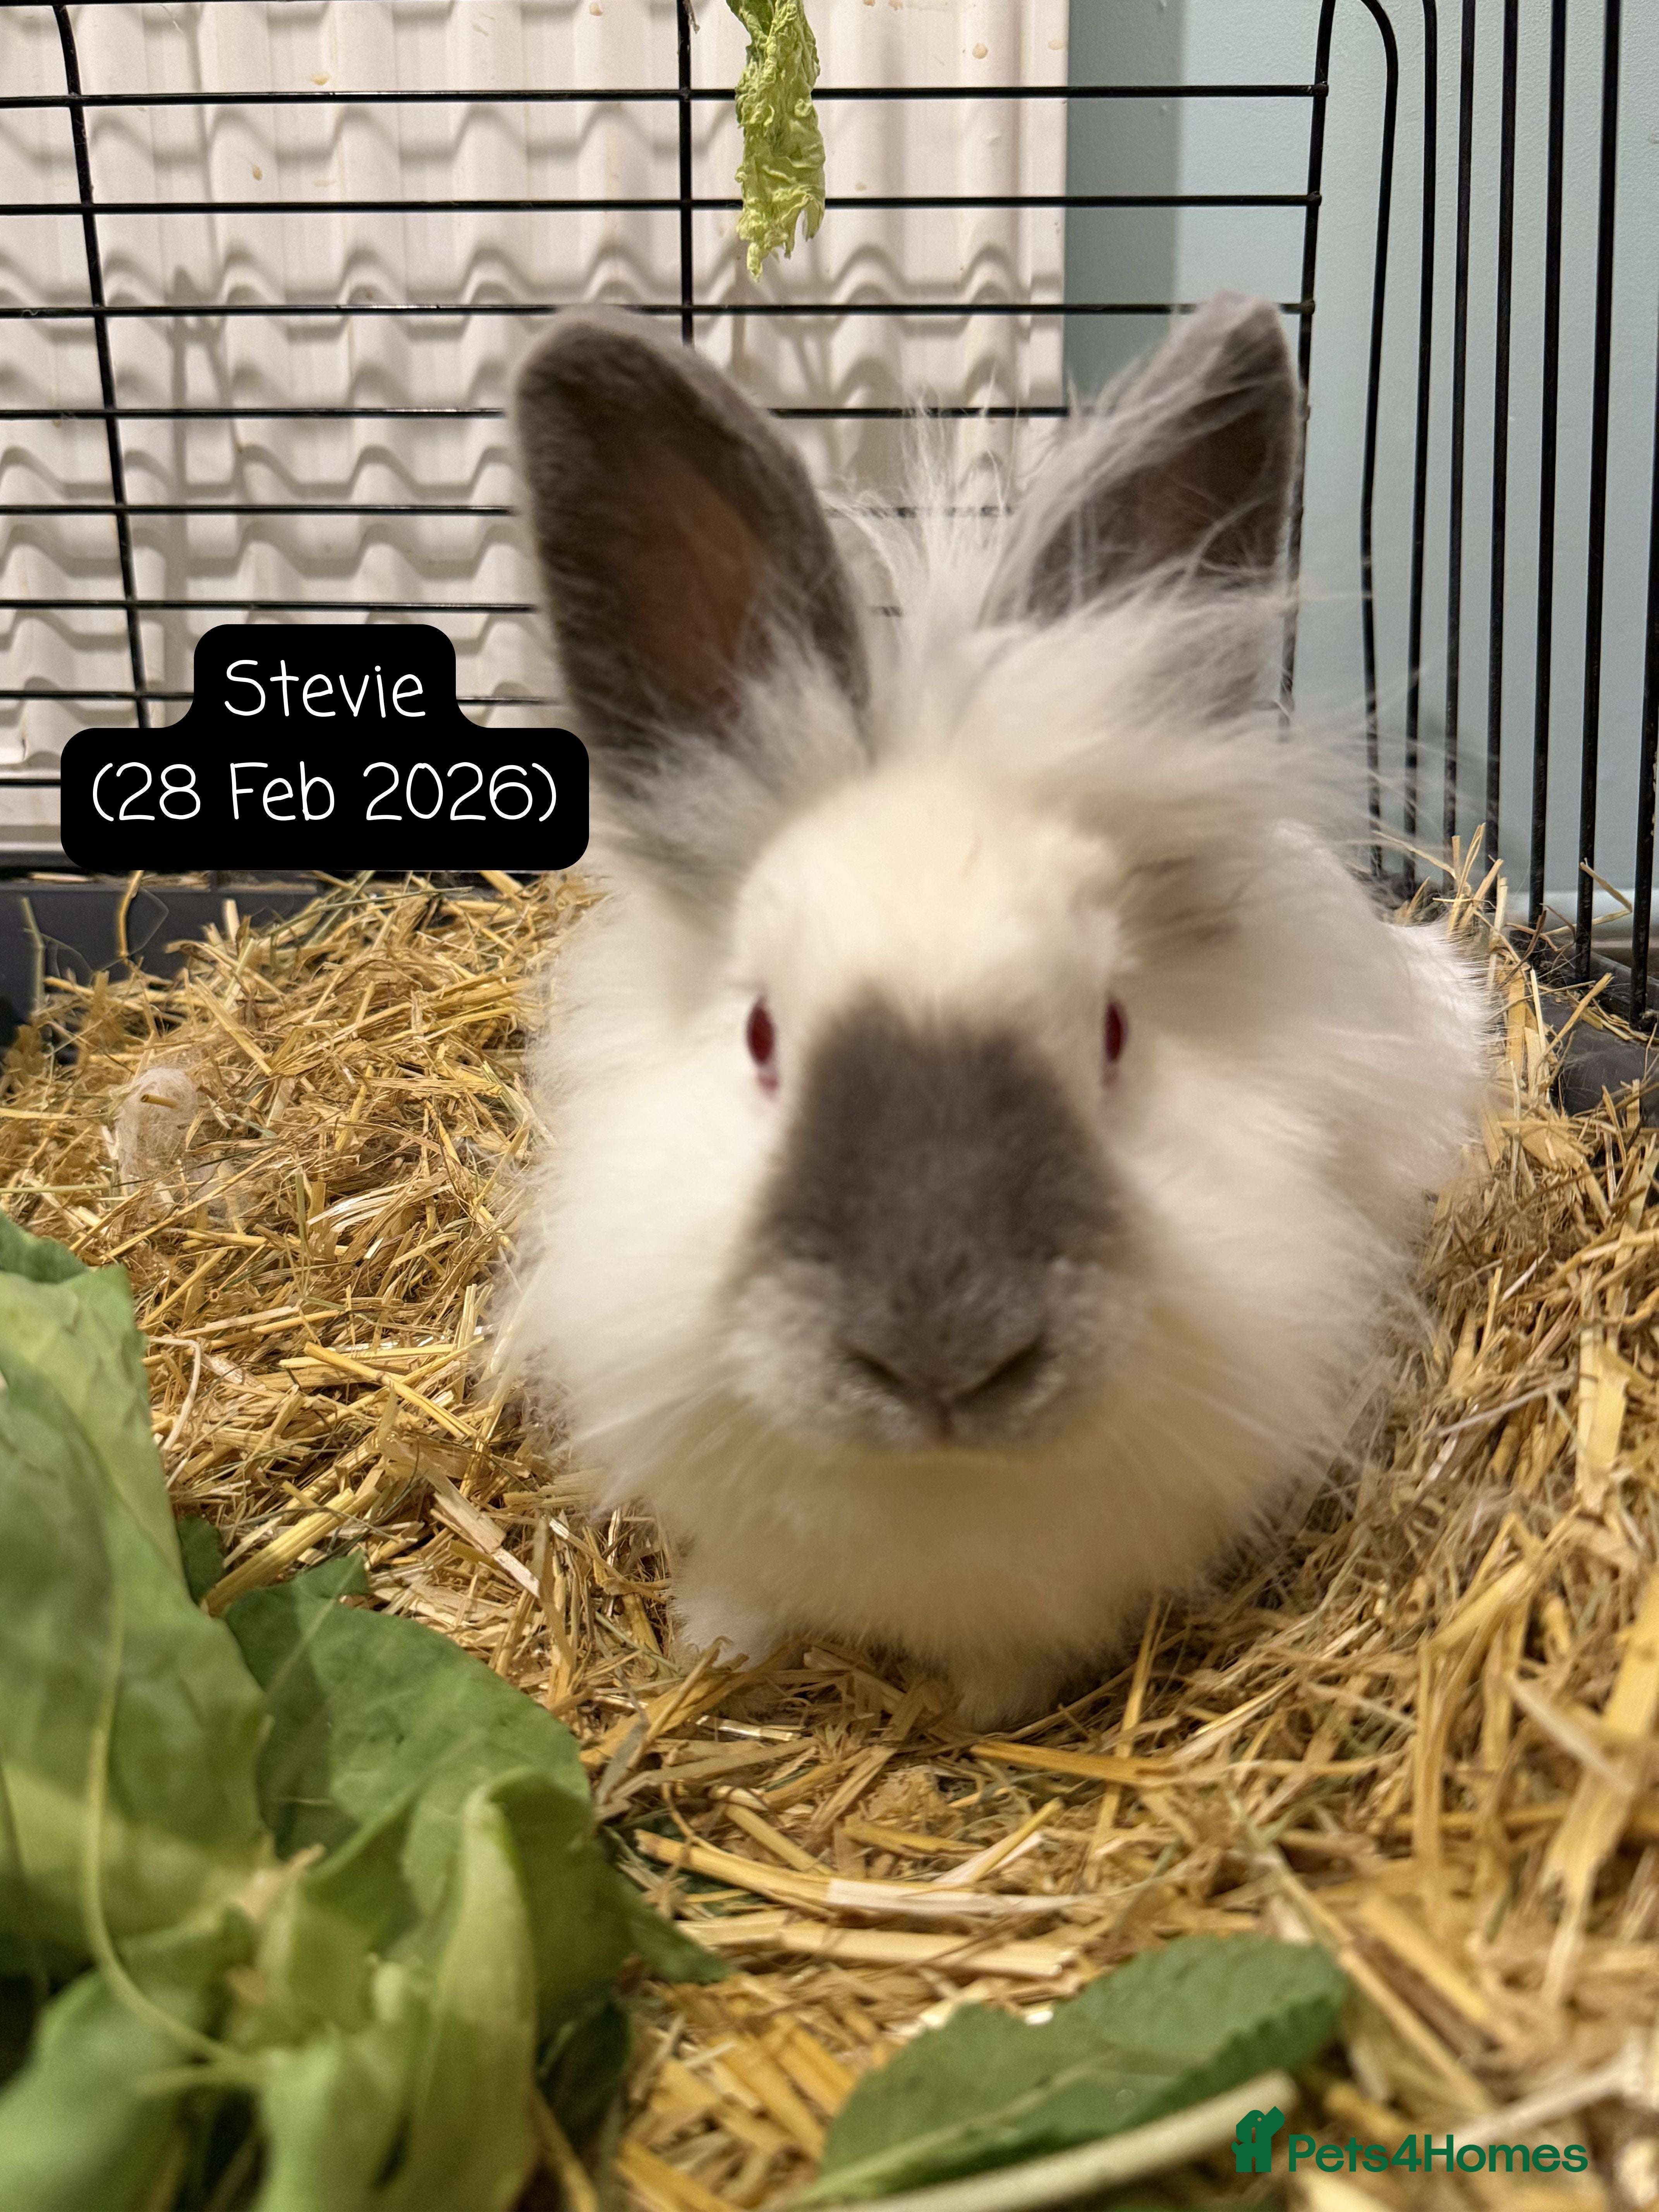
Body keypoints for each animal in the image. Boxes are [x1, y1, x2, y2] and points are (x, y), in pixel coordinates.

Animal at [504, 293, 1492, 1731]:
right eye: (761, 1038)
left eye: (1114, 1030)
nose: (944, 1358)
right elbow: (740, 1602)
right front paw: (712, 1652)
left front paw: (985, 1714)